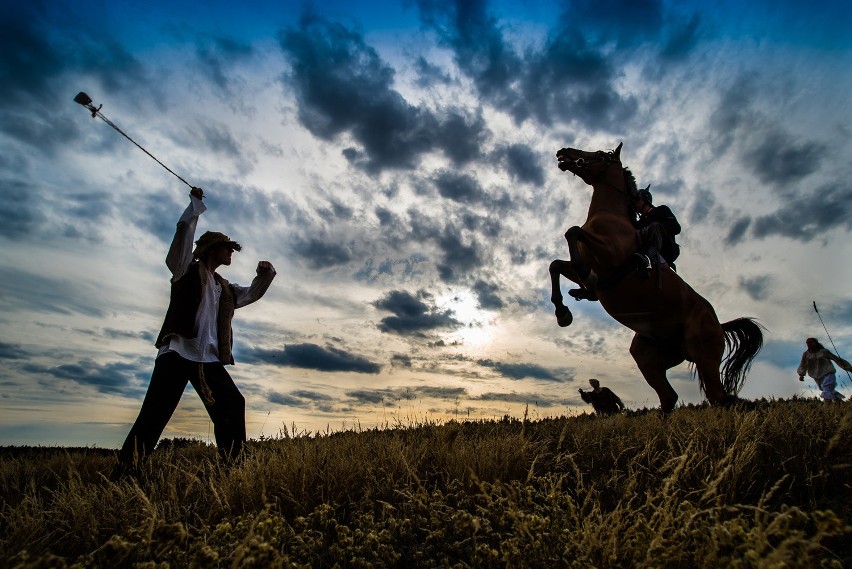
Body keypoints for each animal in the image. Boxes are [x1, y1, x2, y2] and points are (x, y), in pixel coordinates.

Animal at [548, 141, 764, 408]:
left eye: (599, 154)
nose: (564, 151)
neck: (609, 214)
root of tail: (720, 325)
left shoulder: (611, 254)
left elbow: (574, 232)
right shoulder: (601, 275)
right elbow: (556, 265)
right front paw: (563, 312)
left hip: (704, 357)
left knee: (719, 398)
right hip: (649, 355)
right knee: (670, 397)